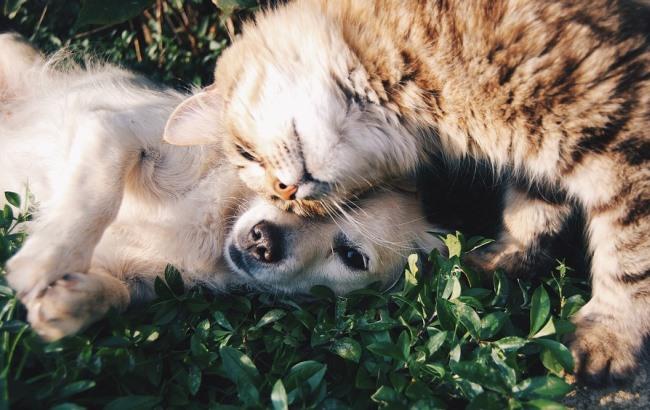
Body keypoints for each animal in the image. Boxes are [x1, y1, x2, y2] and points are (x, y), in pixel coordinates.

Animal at [0, 32, 438, 340]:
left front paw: (70, 302)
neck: (217, 223)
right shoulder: (114, 129)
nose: (264, 241)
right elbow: (96, 197)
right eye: (285, 188)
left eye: (352, 257)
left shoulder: (141, 277)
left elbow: (119, 294)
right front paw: (47, 258)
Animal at [162, 0, 648, 384]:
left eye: (246, 153)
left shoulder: (621, 133)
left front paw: (609, 335)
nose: (288, 191)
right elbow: (531, 212)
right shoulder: (539, 156)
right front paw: (500, 262)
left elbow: (629, 257)